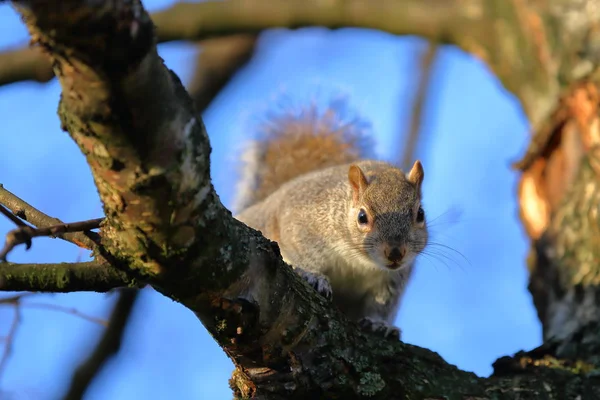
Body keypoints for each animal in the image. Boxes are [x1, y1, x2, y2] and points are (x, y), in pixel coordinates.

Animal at [234, 104, 426, 340]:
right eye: (362, 217)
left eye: (420, 214)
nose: (396, 253)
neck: (360, 261)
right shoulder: (301, 222)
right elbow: (303, 255)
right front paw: (314, 277)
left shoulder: (391, 281)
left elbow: (381, 306)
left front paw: (379, 324)